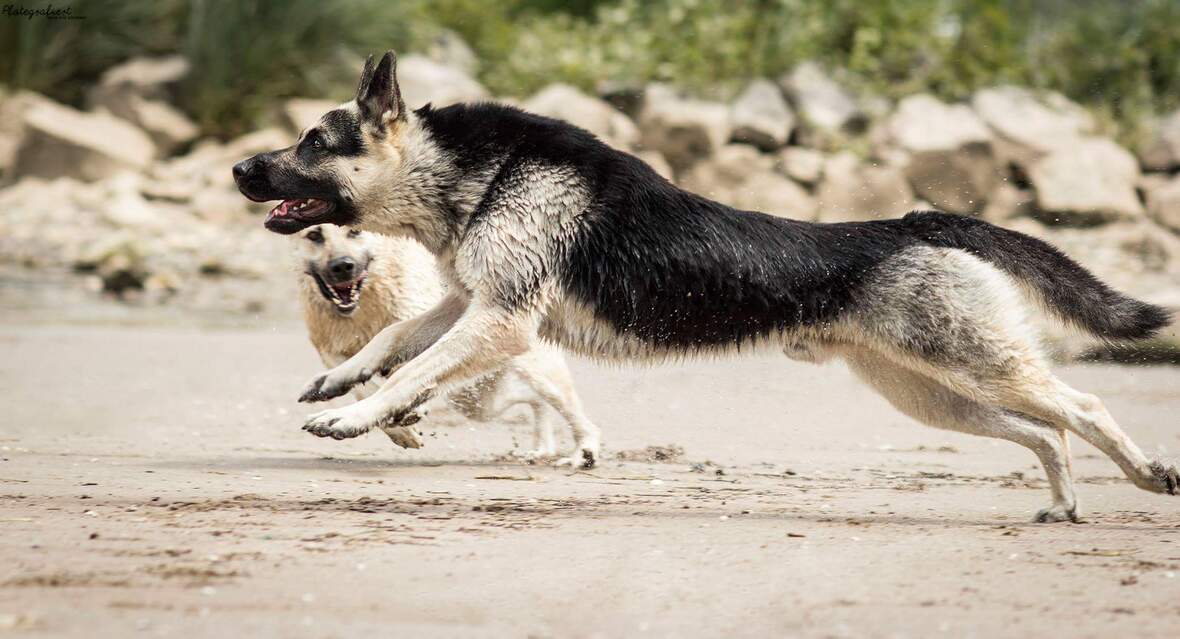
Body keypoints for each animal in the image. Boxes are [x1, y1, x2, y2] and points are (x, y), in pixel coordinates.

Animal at [291, 226, 604, 471]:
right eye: (315, 235)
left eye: (354, 231)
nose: (343, 266)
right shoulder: (333, 353)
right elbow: (366, 382)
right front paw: (397, 427)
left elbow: (402, 376)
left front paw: (403, 419)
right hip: (477, 398)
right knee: (532, 400)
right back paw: (541, 447)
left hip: (518, 375)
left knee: (565, 406)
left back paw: (583, 450)